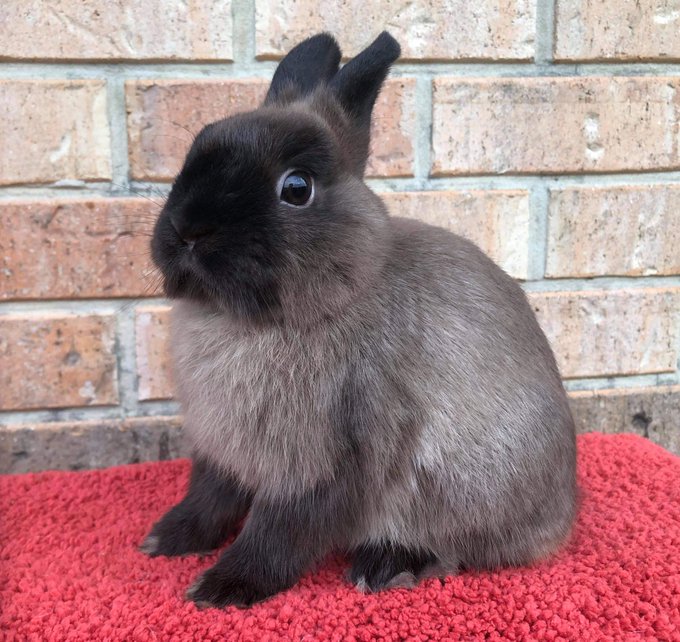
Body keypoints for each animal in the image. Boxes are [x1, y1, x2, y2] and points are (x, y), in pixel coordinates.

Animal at [141, 31, 577, 609]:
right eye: (197, 149)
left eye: (296, 188)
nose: (187, 229)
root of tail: (563, 516)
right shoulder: (223, 454)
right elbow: (208, 499)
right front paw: (167, 539)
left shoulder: (329, 462)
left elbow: (280, 532)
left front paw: (223, 588)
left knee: (457, 548)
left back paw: (387, 566)